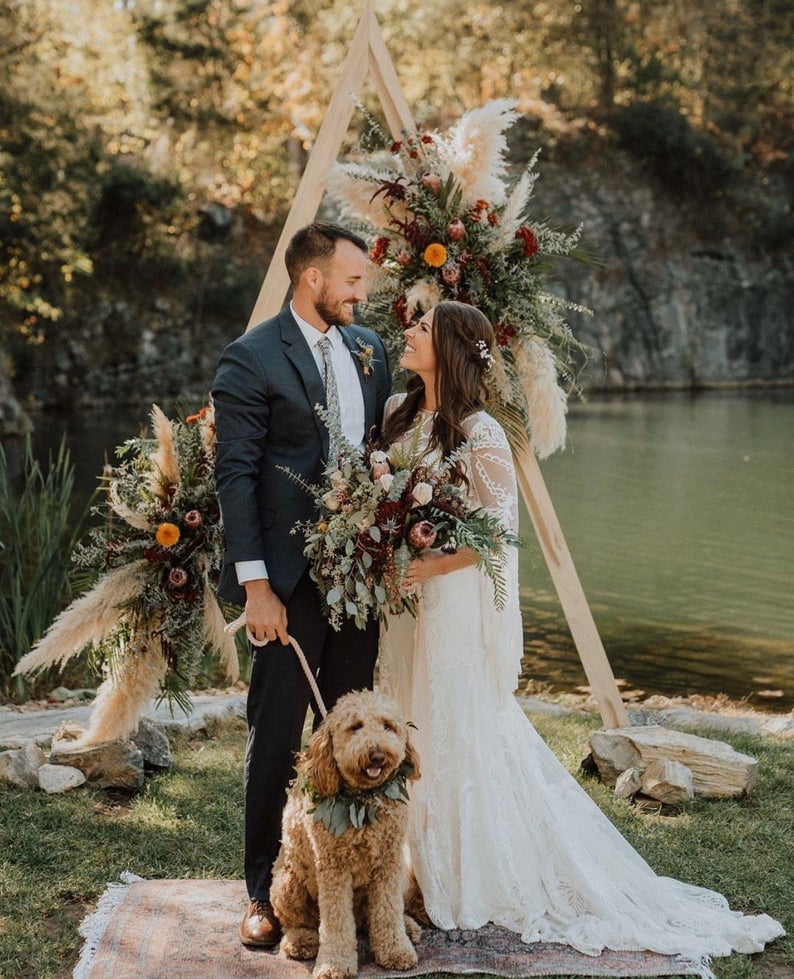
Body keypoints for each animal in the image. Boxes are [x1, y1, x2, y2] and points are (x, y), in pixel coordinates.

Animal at [270, 688, 420, 979]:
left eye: (388, 726)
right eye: (355, 727)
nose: (377, 755)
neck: (363, 802)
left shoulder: (389, 863)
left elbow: (388, 910)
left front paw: (395, 950)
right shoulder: (333, 869)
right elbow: (336, 923)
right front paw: (334, 964)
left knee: (373, 917)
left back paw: (408, 926)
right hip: (287, 882)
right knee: (296, 921)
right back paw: (300, 941)